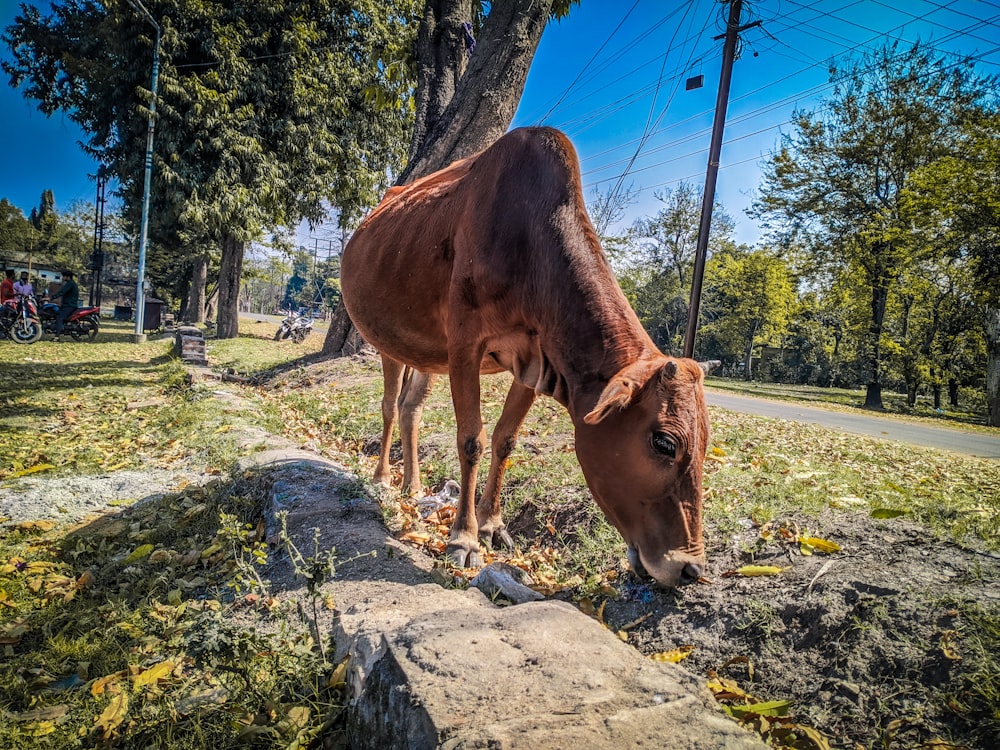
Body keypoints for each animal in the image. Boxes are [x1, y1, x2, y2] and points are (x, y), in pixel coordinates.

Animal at [340, 128, 716, 588]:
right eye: (664, 442)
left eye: (705, 443)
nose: (691, 568)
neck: (530, 247)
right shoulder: (465, 345)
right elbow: (472, 440)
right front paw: (463, 538)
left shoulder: (533, 362)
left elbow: (505, 440)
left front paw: (492, 525)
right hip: (389, 345)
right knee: (390, 406)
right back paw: (382, 479)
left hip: (427, 354)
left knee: (411, 407)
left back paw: (412, 485)